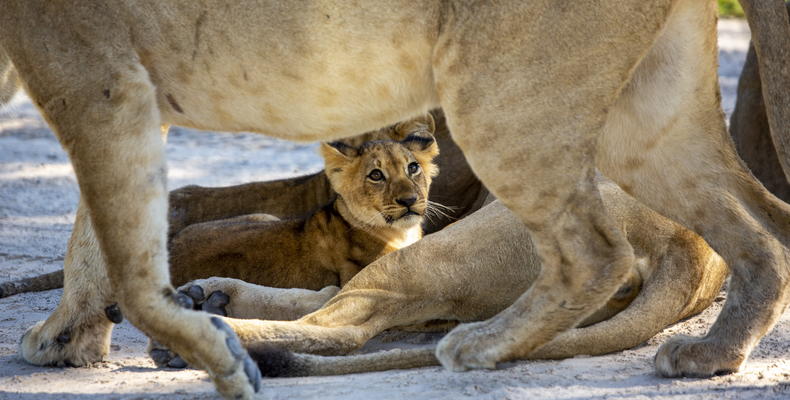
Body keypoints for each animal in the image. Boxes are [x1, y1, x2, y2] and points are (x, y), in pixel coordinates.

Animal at [1, 1, 788, 398]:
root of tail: (688, 252)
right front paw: (73, 331)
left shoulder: (99, 78)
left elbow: (108, 230)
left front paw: (70, 335)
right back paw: (213, 300)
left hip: (488, 157)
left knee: (347, 325)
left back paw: (212, 338)